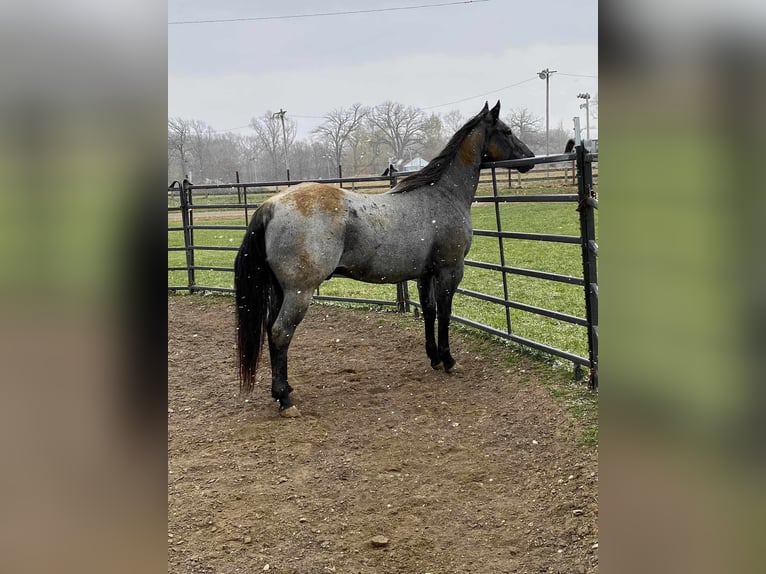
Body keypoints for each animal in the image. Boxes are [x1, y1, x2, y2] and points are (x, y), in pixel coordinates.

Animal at [234, 102, 536, 418]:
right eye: (507, 131)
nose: (530, 158)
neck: (442, 194)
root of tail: (271, 205)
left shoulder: (424, 274)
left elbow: (429, 312)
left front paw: (434, 358)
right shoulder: (449, 270)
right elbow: (445, 313)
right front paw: (449, 360)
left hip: (281, 291)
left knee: (271, 331)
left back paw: (284, 390)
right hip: (299, 293)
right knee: (281, 332)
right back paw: (285, 400)